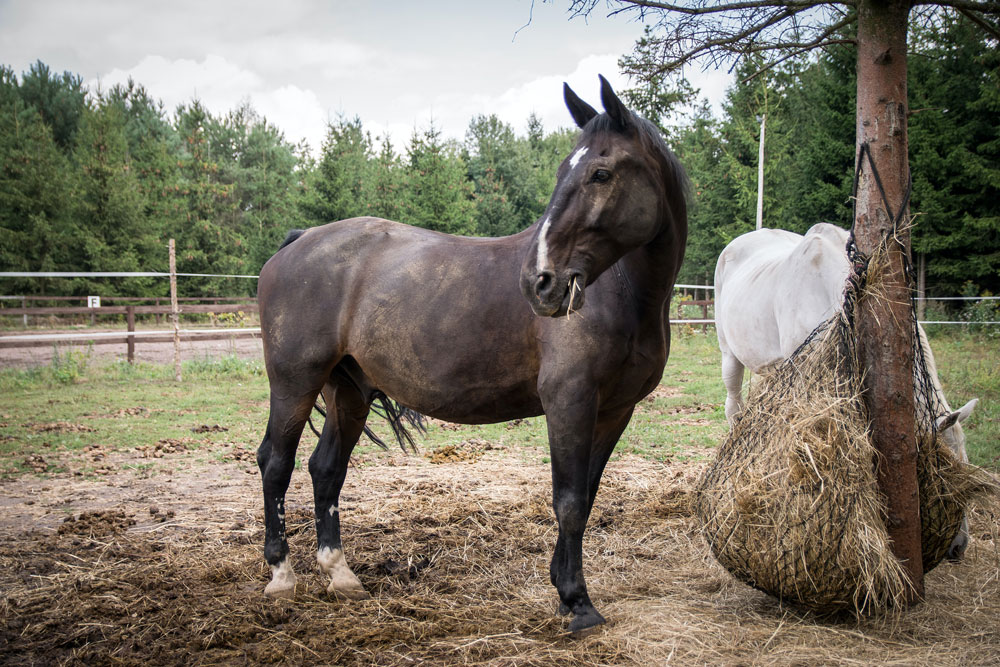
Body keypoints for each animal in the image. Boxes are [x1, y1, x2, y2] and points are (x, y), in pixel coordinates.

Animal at [256, 75, 688, 636]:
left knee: (325, 469)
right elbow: (569, 501)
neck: (624, 292)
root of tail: (299, 240)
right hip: (295, 383)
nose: (539, 282)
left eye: (600, 172)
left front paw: (563, 585)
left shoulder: (616, 410)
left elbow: (587, 497)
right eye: (563, 172)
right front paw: (577, 602)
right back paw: (281, 575)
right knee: (276, 463)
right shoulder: (569, 402)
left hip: (347, 390)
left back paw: (341, 575)